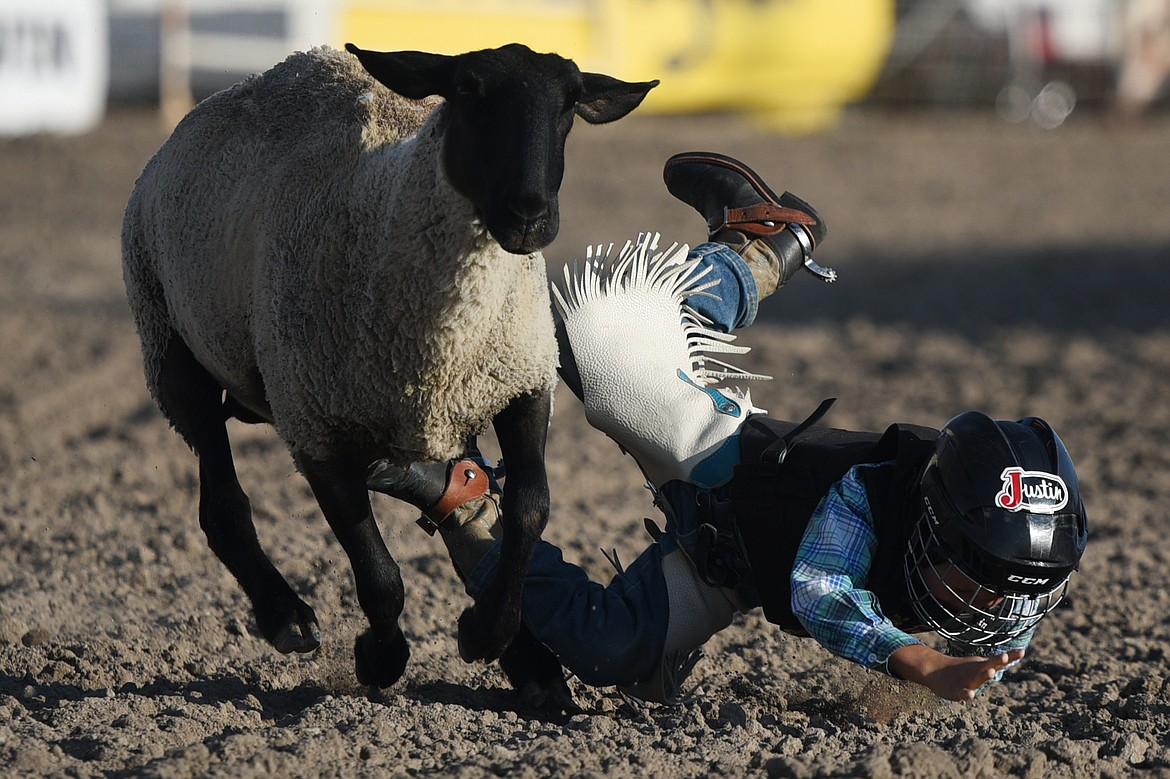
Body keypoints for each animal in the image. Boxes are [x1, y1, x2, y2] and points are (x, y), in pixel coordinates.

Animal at [124, 42, 664, 687]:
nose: (530, 216)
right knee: (222, 505)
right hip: (171, 347)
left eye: (570, 102)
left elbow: (530, 507)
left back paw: (527, 659)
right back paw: (286, 618)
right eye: (467, 89)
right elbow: (380, 577)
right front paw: (380, 660)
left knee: (457, 484)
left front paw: (493, 634)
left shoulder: (522, 380)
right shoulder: (315, 429)